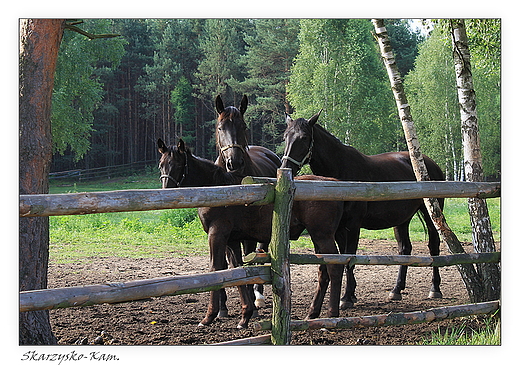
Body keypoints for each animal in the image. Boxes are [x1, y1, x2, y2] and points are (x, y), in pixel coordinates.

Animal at [157, 139, 346, 328]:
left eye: (178, 164)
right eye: (161, 165)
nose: (166, 190)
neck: (217, 189)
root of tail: (334, 184)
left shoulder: (217, 234)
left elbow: (215, 268)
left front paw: (209, 316)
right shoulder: (232, 240)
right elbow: (236, 270)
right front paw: (245, 316)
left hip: (322, 236)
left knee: (335, 267)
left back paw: (332, 314)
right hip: (318, 238)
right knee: (324, 270)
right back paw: (312, 314)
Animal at [282, 112, 444, 308]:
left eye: (304, 138)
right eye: (285, 137)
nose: (286, 167)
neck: (340, 171)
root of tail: (431, 165)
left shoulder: (353, 225)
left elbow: (349, 257)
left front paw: (346, 298)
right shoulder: (339, 229)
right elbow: (343, 257)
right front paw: (350, 294)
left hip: (430, 214)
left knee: (433, 246)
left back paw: (435, 289)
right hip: (401, 220)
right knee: (405, 249)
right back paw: (396, 290)